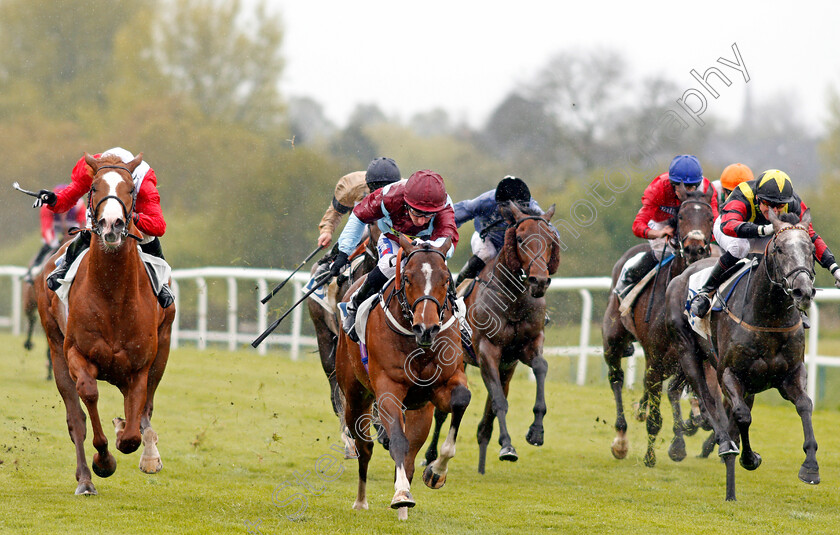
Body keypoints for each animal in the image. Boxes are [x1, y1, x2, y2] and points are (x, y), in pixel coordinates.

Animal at [36, 153, 176, 496]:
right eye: (94, 186)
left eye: (130, 190)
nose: (111, 224)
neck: (113, 295)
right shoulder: (76, 353)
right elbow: (88, 397)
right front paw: (103, 460)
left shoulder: (141, 365)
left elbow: (133, 430)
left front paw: (133, 441)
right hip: (55, 348)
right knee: (75, 419)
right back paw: (85, 479)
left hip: (163, 350)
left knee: (146, 409)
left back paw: (147, 451)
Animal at [338, 237, 476, 520]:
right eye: (409, 278)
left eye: (446, 279)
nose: (427, 328)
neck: (417, 344)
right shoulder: (388, 389)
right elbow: (397, 441)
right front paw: (401, 494)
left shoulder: (443, 385)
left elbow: (461, 399)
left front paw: (436, 472)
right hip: (355, 395)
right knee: (364, 447)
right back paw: (362, 500)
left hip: (418, 410)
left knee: (411, 453)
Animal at [604, 186, 716, 466]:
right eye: (681, 216)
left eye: (710, 217)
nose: (695, 249)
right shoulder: (655, 356)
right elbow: (657, 412)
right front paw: (651, 456)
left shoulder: (693, 357)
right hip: (613, 338)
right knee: (617, 378)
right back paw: (621, 439)